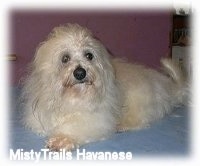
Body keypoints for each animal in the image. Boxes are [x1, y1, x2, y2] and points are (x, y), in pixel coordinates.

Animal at [20, 22, 188, 151]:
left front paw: (62, 139)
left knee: (141, 120)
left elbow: (75, 128)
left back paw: (122, 125)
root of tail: (167, 87)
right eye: (65, 58)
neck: (73, 97)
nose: (80, 72)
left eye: (89, 55)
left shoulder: (96, 120)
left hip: (139, 99)